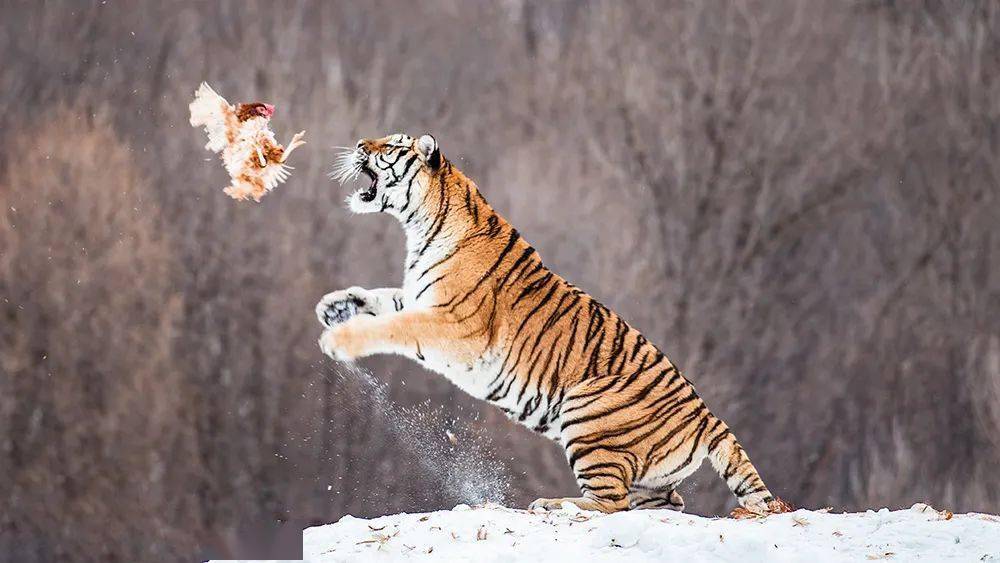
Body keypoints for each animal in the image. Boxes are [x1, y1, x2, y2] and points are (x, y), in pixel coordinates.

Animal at [316, 133, 792, 516]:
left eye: (391, 146)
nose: (359, 144)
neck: (420, 227)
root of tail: (707, 416)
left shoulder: (453, 324)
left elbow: (393, 326)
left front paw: (338, 339)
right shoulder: (418, 298)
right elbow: (380, 298)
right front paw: (334, 306)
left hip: (586, 415)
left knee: (610, 504)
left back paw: (552, 503)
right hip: (647, 475)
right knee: (663, 504)